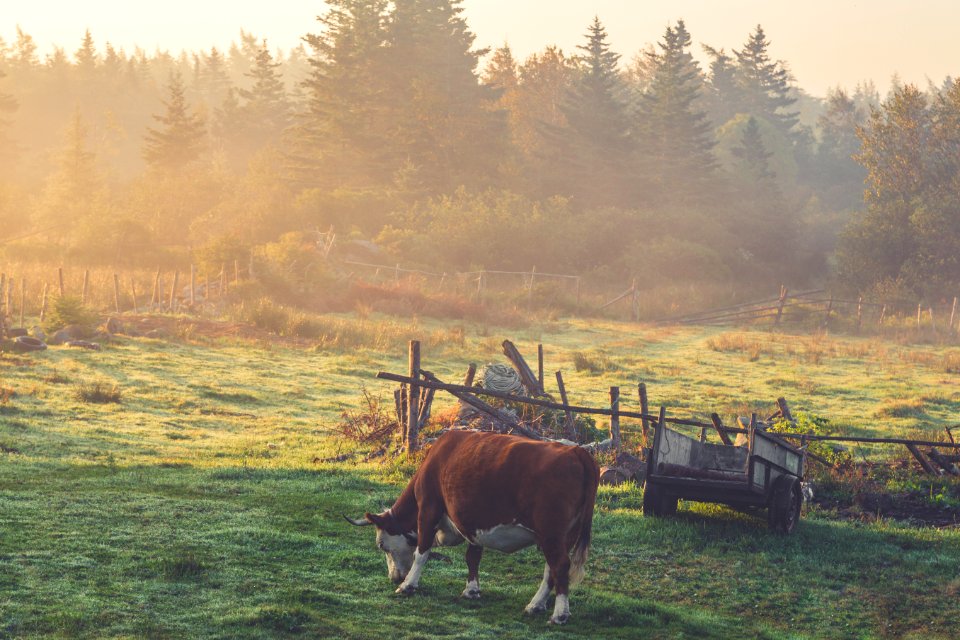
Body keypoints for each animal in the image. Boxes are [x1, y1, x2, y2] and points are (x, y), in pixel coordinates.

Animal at [344, 430, 600, 624]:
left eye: (382, 546)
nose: (394, 578)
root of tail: (576, 451)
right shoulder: (472, 524)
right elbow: (472, 557)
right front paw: (471, 590)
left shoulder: (428, 507)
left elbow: (421, 552)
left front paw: (408, 586)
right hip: (562, 536)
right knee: (551, 569)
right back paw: (535, 605)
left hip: (551, 533)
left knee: (560, 566)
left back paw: (559, 614)